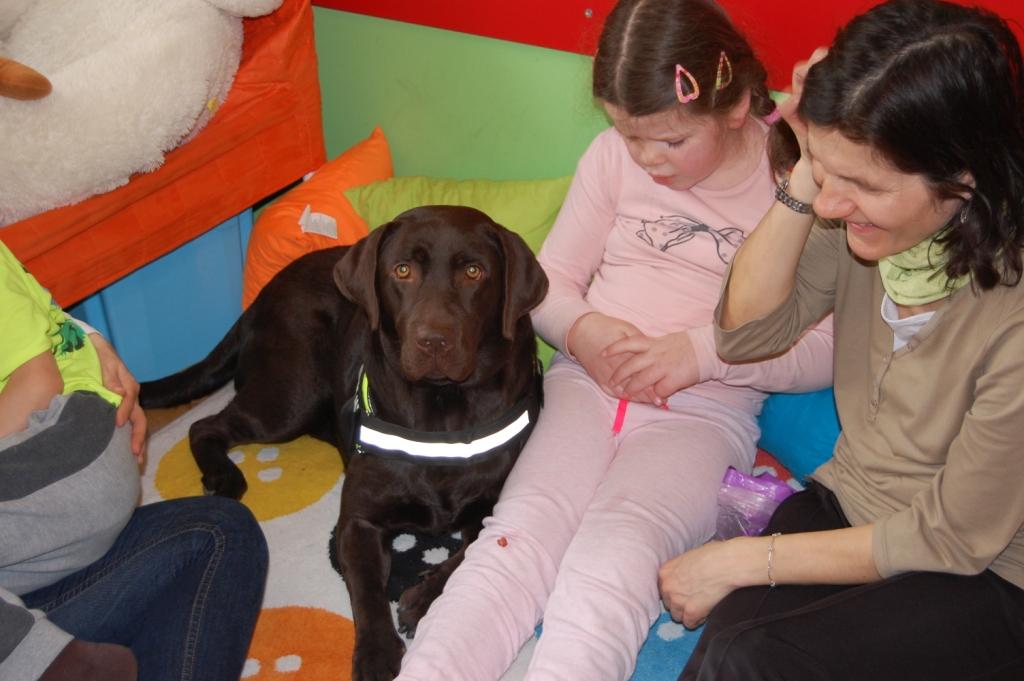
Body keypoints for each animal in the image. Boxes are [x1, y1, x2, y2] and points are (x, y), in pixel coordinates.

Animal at [139, 205, 548, 681]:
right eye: (402, 270)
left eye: (473, 271)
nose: (433, 340)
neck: (441, 410)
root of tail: (260, 295)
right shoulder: (357, 522)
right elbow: (368, 592)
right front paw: (375, 655)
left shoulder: (492, 507)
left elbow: (470, 550)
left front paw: (422, 599)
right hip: (288, 400)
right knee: (204, 425)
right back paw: (224, 476)